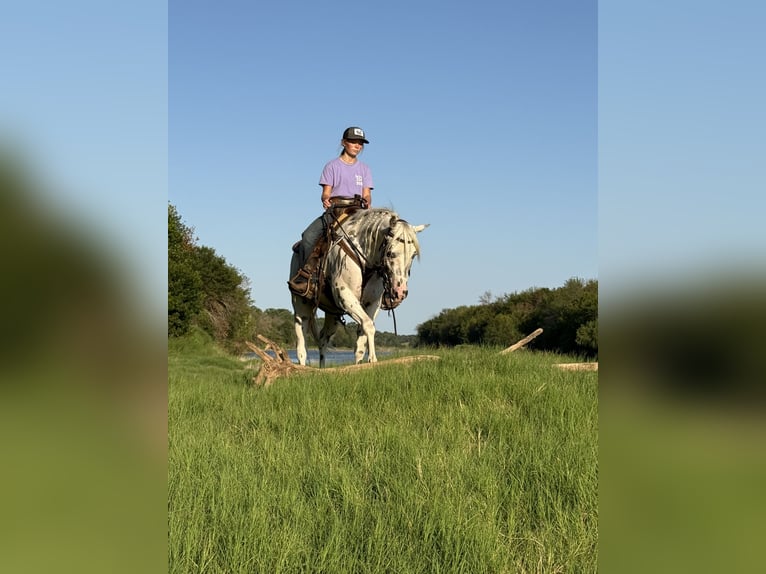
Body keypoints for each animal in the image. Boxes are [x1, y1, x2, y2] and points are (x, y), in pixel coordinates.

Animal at [289, 207, 427, 367]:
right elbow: (368, 325)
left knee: (323, 338)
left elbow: (361, 341)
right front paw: (373, 359)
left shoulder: (372, 304)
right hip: (301, 307)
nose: (401, 292)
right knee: (301, 344)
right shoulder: (345, 296)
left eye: (413, 255)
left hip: (333, 313)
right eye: (390, 253)